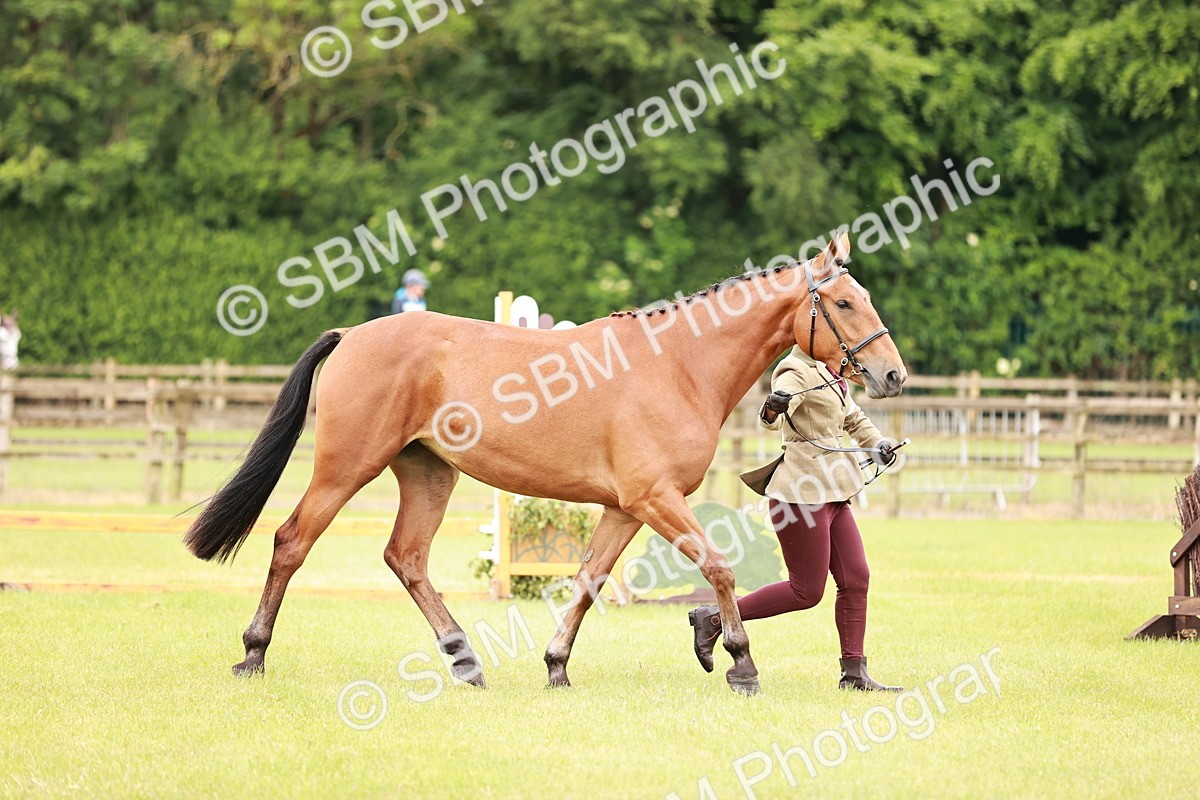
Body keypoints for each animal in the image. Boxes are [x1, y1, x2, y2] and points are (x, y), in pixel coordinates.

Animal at [184, 232, 906, 695]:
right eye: (844, 302)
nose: (892, 374)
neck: (678, 366)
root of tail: (352, 334)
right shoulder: (655, 499)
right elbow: (719, 567)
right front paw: (739, 662)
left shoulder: (625, 508)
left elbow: (586, 581)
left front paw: (557, 664)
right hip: (345, 467)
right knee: (291, 541)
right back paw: (253, 655)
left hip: (429, 473)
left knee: (407, 558)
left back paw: (466, 663)